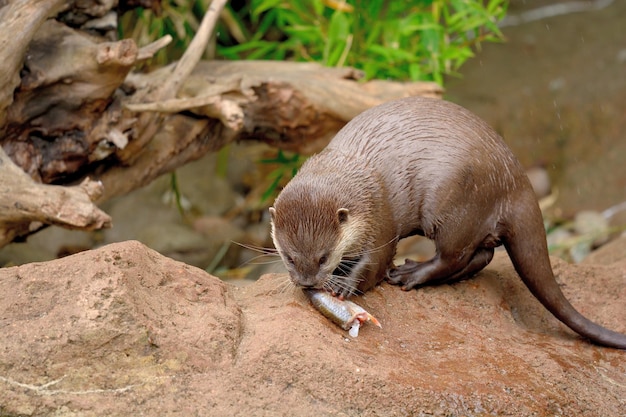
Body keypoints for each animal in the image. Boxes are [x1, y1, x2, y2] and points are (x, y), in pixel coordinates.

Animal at [268, 96, 624, 346]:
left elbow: (377, 262)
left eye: (323, 256)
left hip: (455, 204)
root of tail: (514, 179)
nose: (307, 284)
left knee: (453, 255)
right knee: (483, 254)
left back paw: (411, 274)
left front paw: (344, 285)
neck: (356, 176)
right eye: (288, 257)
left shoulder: (379, 216)